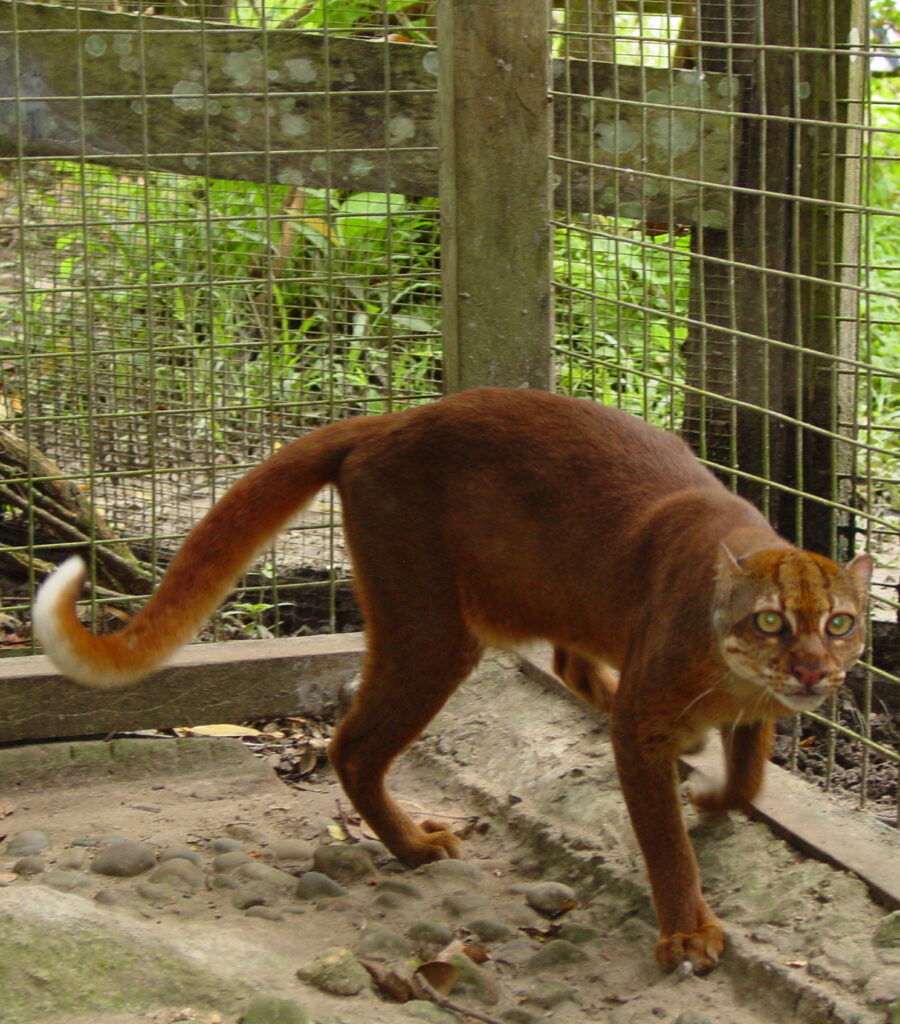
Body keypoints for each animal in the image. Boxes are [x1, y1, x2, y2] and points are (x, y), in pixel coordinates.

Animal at [35, 387, 872, 970]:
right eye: (770, 622)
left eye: (840, 623)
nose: (812, 668)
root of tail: (388, 421)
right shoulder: (646, 722)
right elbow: (666, 839)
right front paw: (689, 933)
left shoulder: (749, 705)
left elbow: (752, 769)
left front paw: (717, 792)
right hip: (432, 626)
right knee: (353, 745)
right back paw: (414, 845)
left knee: (564, 662)